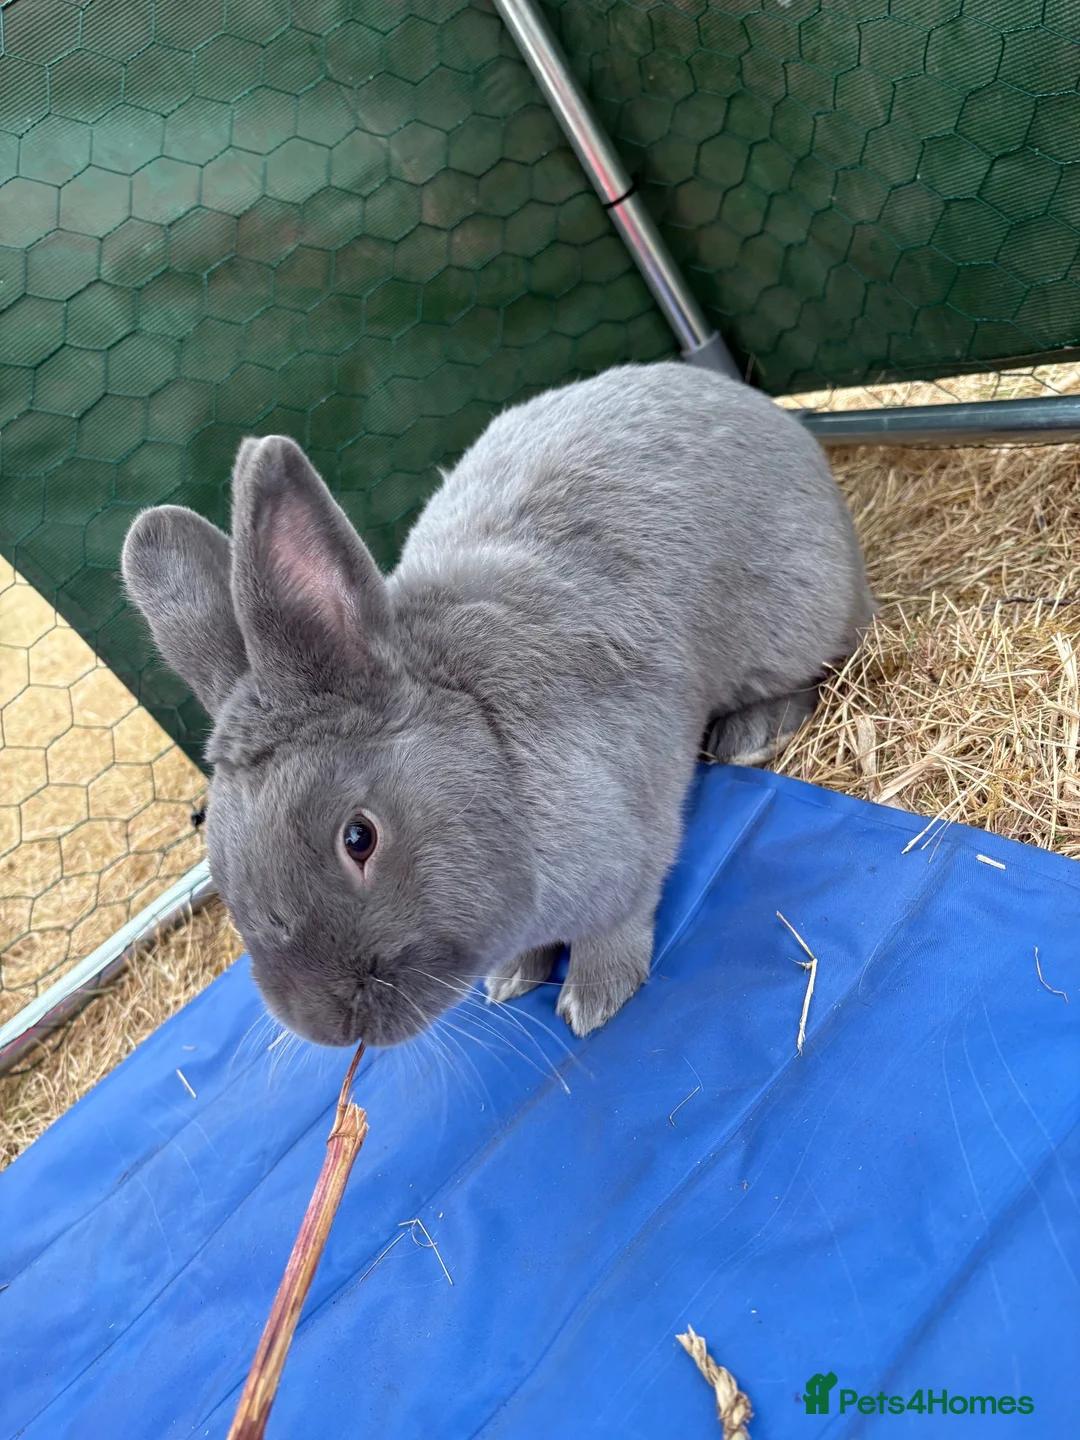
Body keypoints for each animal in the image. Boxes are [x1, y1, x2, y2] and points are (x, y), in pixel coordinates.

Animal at [122, 361, 874, 1049]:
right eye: (220, 870)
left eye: (359, 838)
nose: (328, 1027)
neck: (485, 743)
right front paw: (512, 978)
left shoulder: (629, 848)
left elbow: (616, 925)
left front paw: (593, 1001)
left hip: (795, 619)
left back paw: (752, 734)